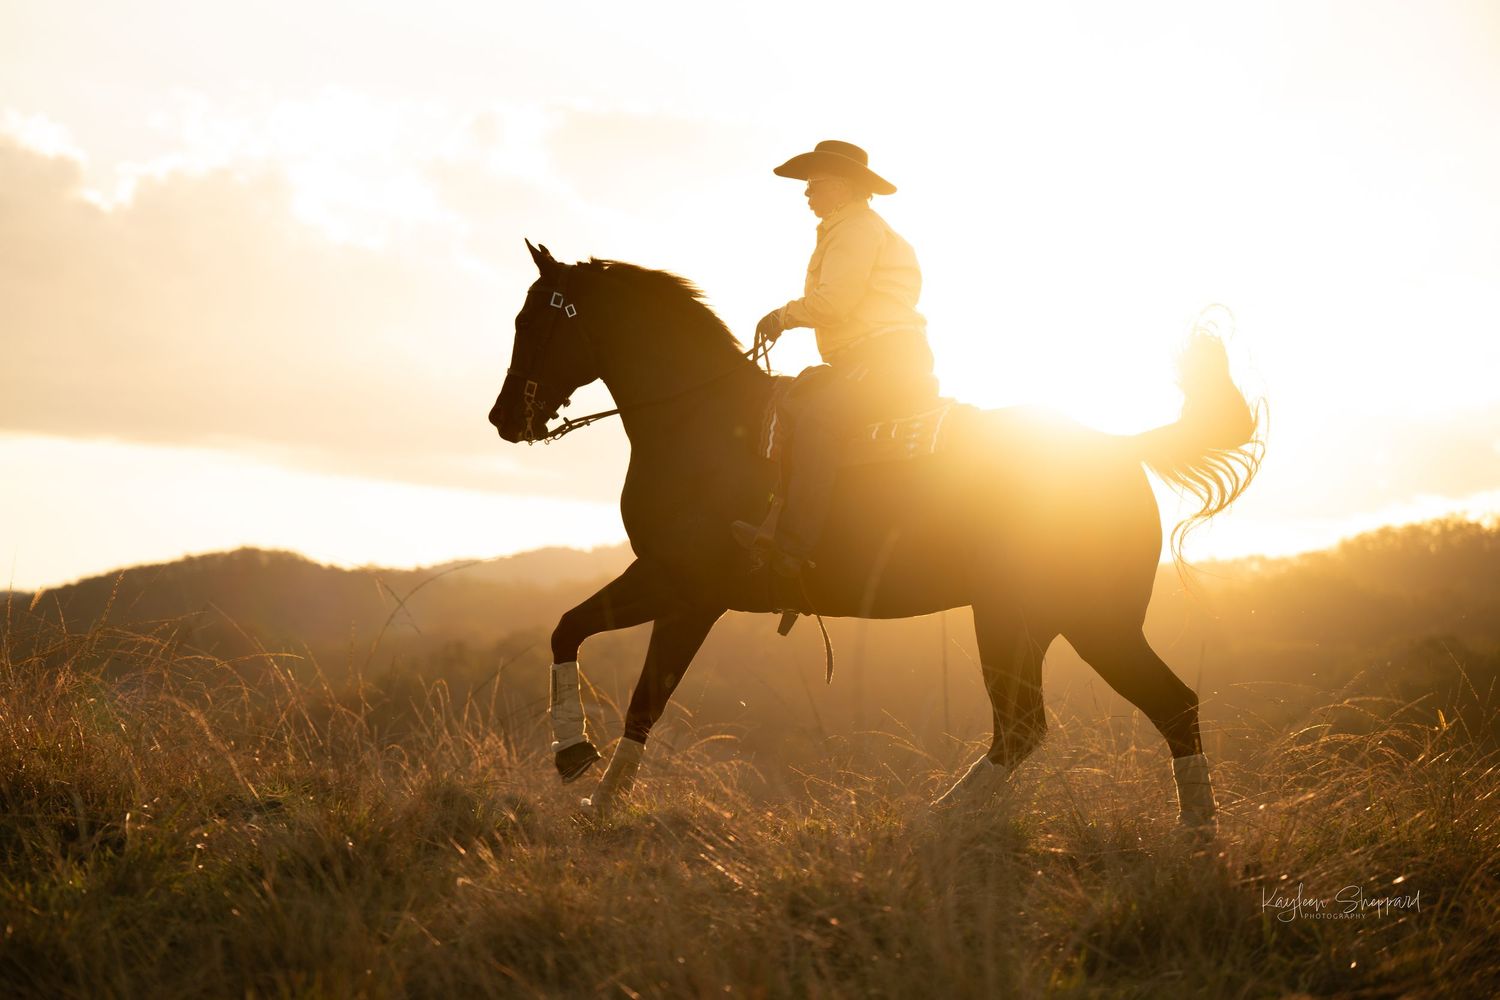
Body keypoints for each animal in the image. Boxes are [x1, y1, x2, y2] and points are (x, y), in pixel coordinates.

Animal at [488, 240, 1261, 831]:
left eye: (533, 320)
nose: (502, 419)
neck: (703, 424)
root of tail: (1120, 449)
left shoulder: (683, 589)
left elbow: (628, 681)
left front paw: (588, 781)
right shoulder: (670, 587)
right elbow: (585, 645)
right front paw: (582, 772)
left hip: (1081, 622)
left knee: (1157, 706)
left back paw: (1192, 833)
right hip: (1026, 624)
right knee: (1028, 726)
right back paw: (945, 817)